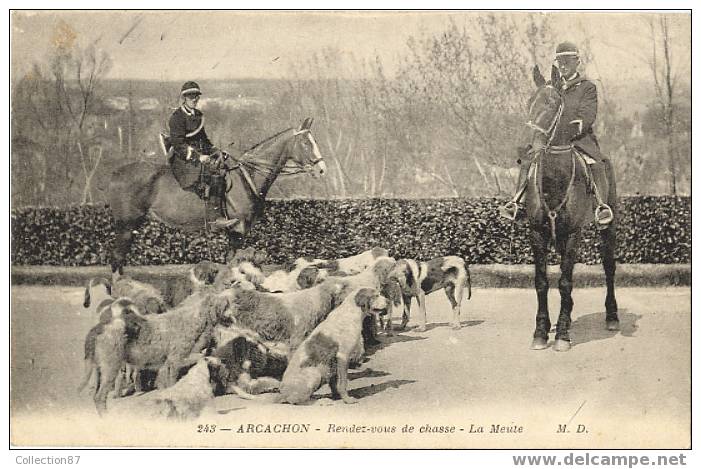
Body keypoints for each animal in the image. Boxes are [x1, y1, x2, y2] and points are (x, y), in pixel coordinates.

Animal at [106, 117, 326, 276]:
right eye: (306, 143)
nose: (322, 170)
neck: (247, 176)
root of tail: (115, 173)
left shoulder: (237, 232)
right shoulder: (238, 229)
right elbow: (234, 262)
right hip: (126, 224)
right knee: (116, 259)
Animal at [524, 67, 616, 350]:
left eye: (553, 104)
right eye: (529, 102)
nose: (529, 149)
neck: (555, 177)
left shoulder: (574, 233)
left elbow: (565, 282)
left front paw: (562, 334)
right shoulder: (537, 232)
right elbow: (542, 282)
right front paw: (541, 331)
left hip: (608, 225)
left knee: (609, 266)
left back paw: (612, 316)